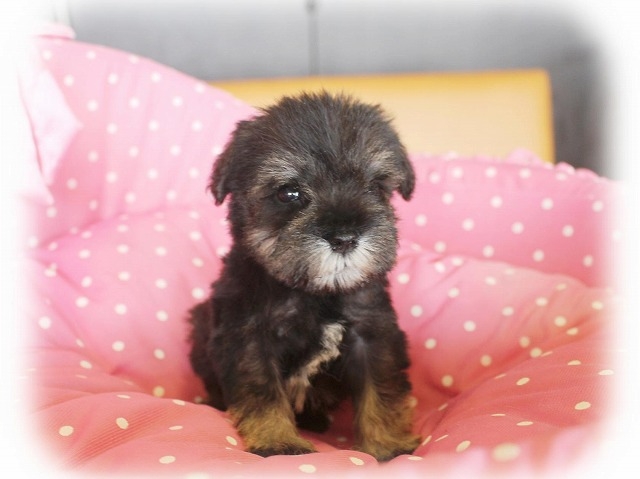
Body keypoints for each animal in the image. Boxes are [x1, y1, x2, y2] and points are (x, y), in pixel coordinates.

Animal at [188, 91, 420, 461]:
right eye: (289, 192)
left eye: (375, 186)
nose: (345, 238)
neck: (315, 293)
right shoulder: (250, 339)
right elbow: (262, 392)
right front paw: (278, 441)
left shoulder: (372, 334)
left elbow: (380, 390)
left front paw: (387, 444)